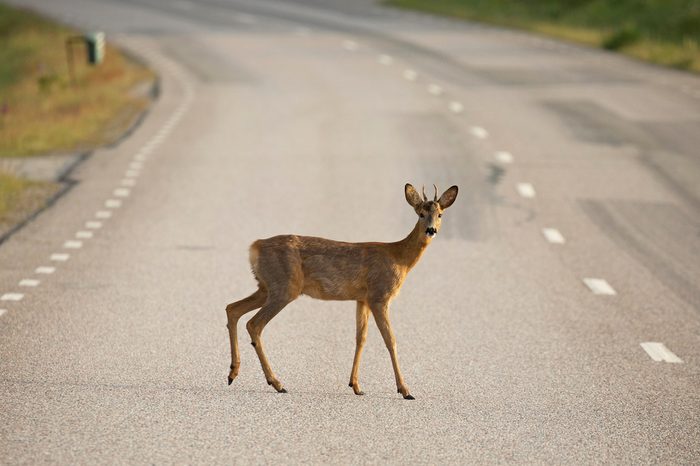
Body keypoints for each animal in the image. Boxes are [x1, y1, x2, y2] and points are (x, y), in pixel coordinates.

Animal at [225, 183, 458, 400]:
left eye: (440, 214)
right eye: (420, 214)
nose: (431, 230)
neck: (399, 258)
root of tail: (255, 247)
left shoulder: (362, 299)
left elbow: (361, 338)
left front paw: (356, 386)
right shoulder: (379, 296)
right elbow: (390, 340)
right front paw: (405, 390)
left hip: (266, 287)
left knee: (232, 308)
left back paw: (233, 373)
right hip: (284, 287)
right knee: (254, 323)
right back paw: (276, 383)